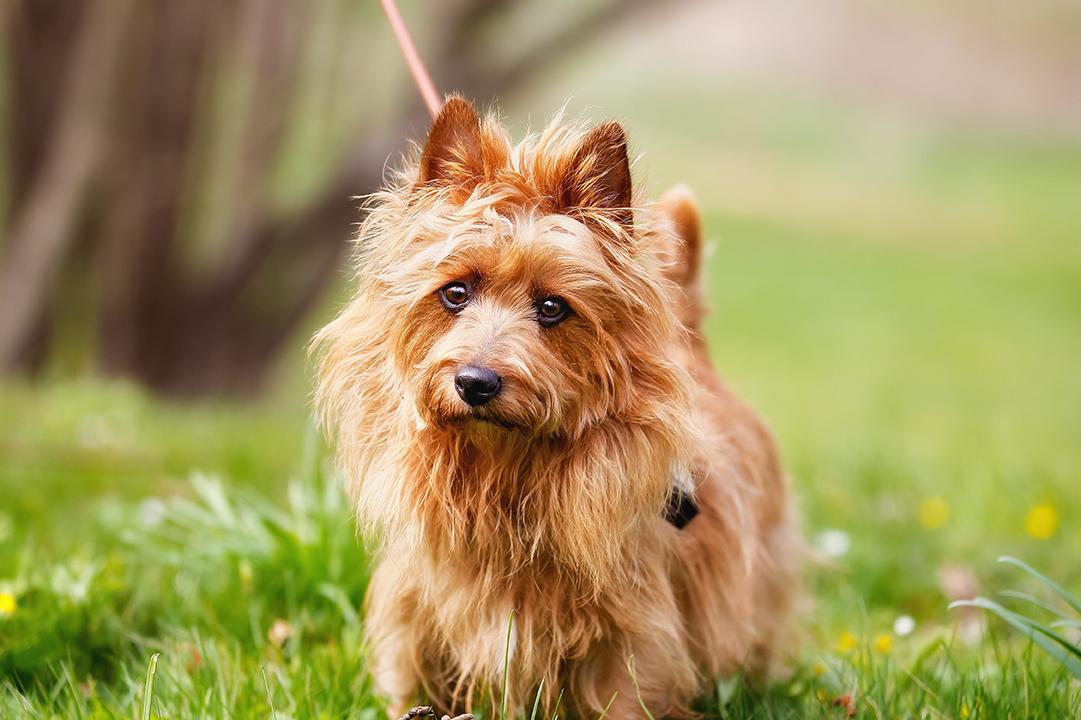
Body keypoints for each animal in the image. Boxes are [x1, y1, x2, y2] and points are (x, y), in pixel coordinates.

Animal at [313, 96, 804, 717]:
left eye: (552, 307)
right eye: (455, 292)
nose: (475, 382)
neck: (504, 475)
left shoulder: (634, 635)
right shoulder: (416, 617)